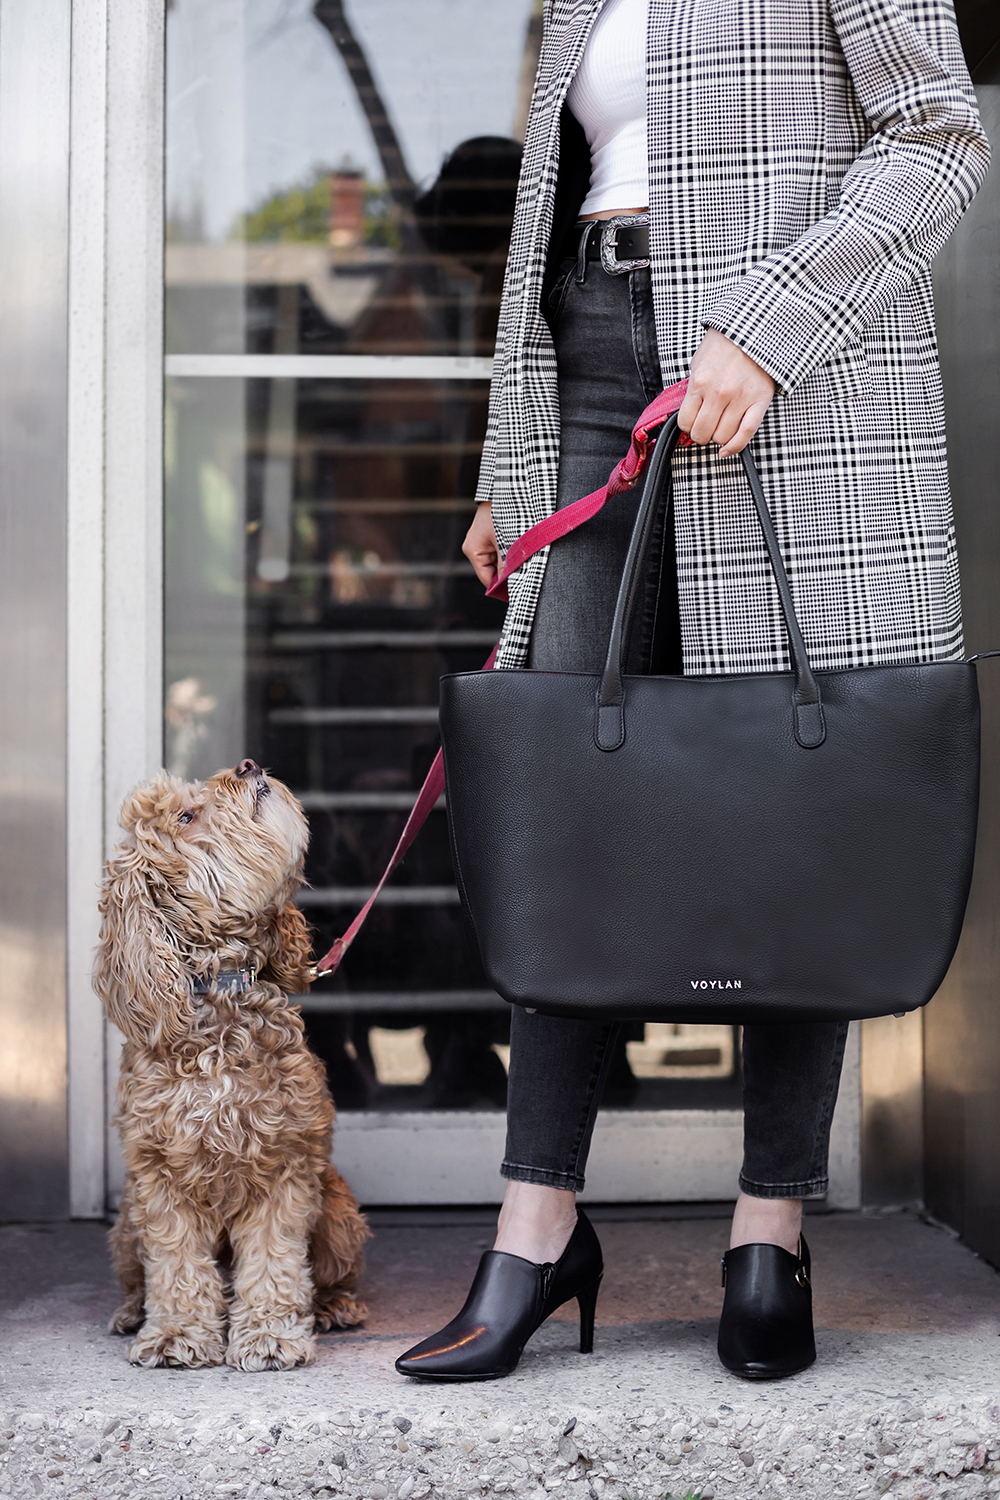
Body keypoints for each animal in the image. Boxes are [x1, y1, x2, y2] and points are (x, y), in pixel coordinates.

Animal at [95, 762, 370, 1374]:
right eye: (185, 816)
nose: (247, 766)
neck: (221, 990)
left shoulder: (285, 1165)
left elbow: (274, 1261)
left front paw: (268, 1335)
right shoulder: (159, 1177)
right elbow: (175, 1263)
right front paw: (175, 1334)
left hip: (338, 1209)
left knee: (334, 1273)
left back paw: (335, 1306)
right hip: (124, 1224)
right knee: (137, 1276)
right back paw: (128, 1312)